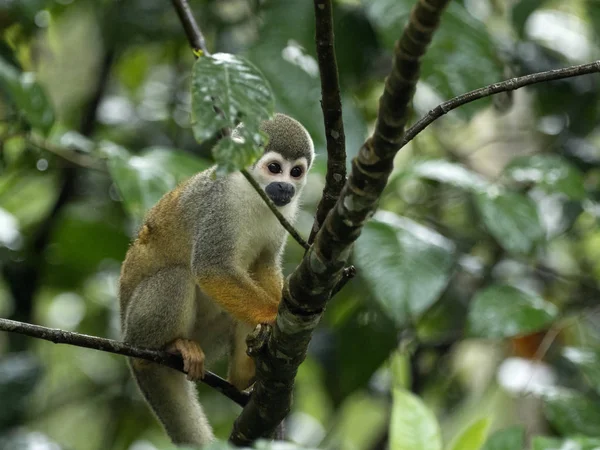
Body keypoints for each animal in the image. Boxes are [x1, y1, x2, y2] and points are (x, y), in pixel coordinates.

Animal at [118, 114, 314, 444]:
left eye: (296, 172)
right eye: (275, 168)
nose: (286, 187)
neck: (252, 193)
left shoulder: (283, 213)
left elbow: (263, 266)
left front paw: (282, 317)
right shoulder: (219, 205)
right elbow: (211, 268)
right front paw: (273, 315)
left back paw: (242, 375)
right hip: (135, 329)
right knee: (177, 277)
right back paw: (169, 348)